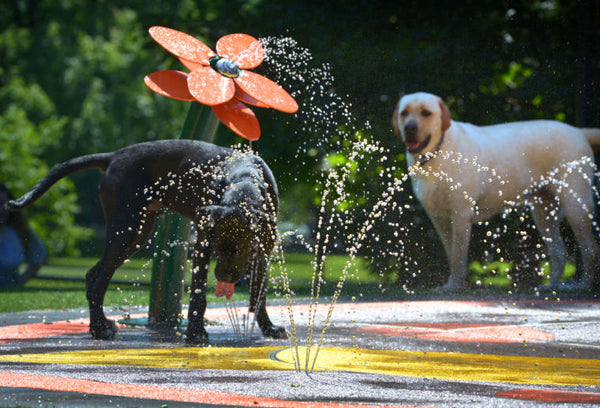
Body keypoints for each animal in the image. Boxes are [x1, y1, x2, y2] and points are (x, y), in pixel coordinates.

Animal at [4, 139, 286, 342]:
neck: (244, 182)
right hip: (127, 229)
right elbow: (198, 294)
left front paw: (269, 328)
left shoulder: (261, 251)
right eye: (218, 248)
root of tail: (114, 156)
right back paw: (100, 330)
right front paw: (196, 333)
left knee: (92, 274)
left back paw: (100, 324)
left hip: (137, 234)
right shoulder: (203, 245)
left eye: (240, 249)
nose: (225, 277)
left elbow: (259, 293)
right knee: (98, 281)